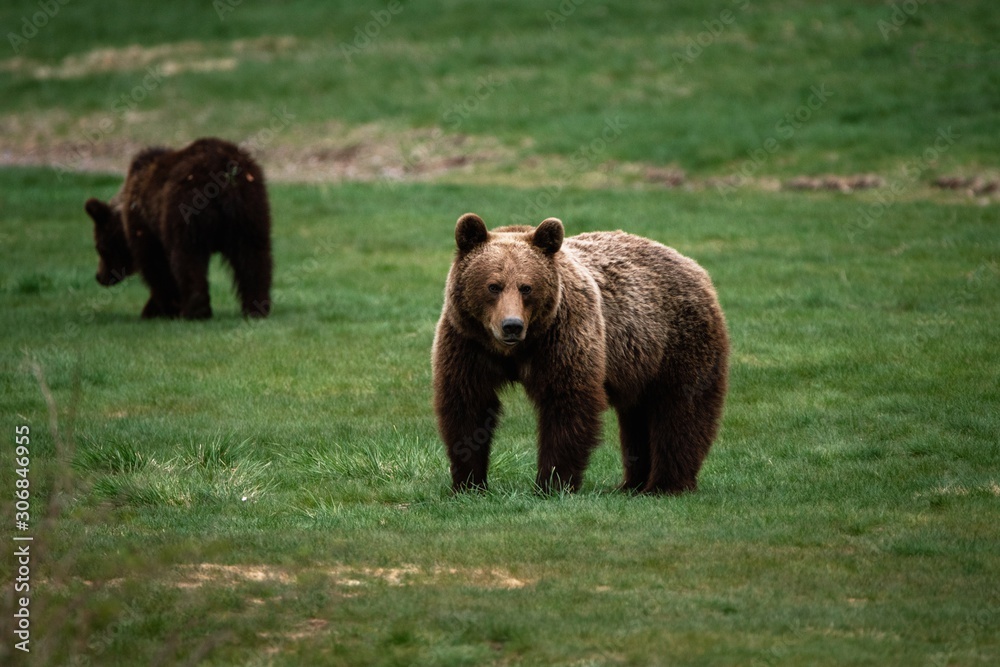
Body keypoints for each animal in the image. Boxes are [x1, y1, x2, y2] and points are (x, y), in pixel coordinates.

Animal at [83, 137, 272, 320]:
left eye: (100, 247)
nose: (99, 277)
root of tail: (225, 172)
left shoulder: (146, 227)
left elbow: (156, 265)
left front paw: (159, 309)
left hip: (187, 206)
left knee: (188, 257)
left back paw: (195, 311)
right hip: (250, 208)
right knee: (253, 256)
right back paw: (256, 307)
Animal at [430, 214, 728, 496]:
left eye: (526, 287)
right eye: (493, 286)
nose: (511, 325)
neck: (515, 350)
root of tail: (693, 266)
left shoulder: (563, 336)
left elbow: (567, 403)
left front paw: (551, 483)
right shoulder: (467, 342)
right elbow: (467, 405)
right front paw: (468, 483)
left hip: (679, 341)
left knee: (680, 410)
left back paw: (665, 485)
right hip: (640, 362)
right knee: (637, 417)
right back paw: (631, 485)